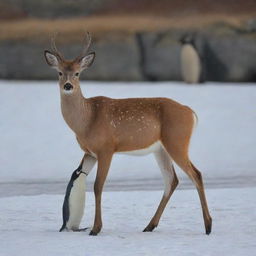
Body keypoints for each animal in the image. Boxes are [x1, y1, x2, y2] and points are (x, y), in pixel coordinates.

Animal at [44, 32, 212, 236]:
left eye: (77, 73)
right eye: (59, 72)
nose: (68, 86)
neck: (87, 120)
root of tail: (191, 112)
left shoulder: (106, 148)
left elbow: (98, 185)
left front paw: (96, 229)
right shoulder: (89, 151)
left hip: (177, 142)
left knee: (196, 174)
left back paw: (208, 226)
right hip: (161, 149)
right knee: (172, 180)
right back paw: (149, 226)